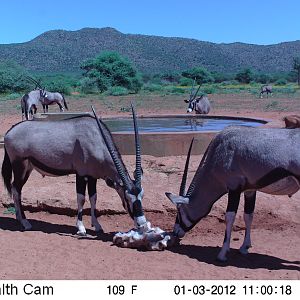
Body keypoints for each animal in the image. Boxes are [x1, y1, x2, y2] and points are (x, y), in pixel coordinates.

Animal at [1, 104, 149, 236]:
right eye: (127, 197)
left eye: (142, 196)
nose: (142, 225)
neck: (96, 138)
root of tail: (9, 132)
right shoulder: (81, 174)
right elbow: (81, 199)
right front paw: (81, 228)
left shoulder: (92, 176)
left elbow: (93, 198)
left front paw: (97, 225)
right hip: (20, 166)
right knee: (16, 189)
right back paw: (25, 222)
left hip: (28, 168)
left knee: (15, 188)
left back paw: (19, 218)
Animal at [165, 126, 300, 262]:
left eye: (180, 211)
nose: (176, 232)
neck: (220, 150)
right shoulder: (250, 190)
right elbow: (248, 216)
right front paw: (245, 247)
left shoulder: (234, 188)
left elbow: (229, 217)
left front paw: (223, 253)